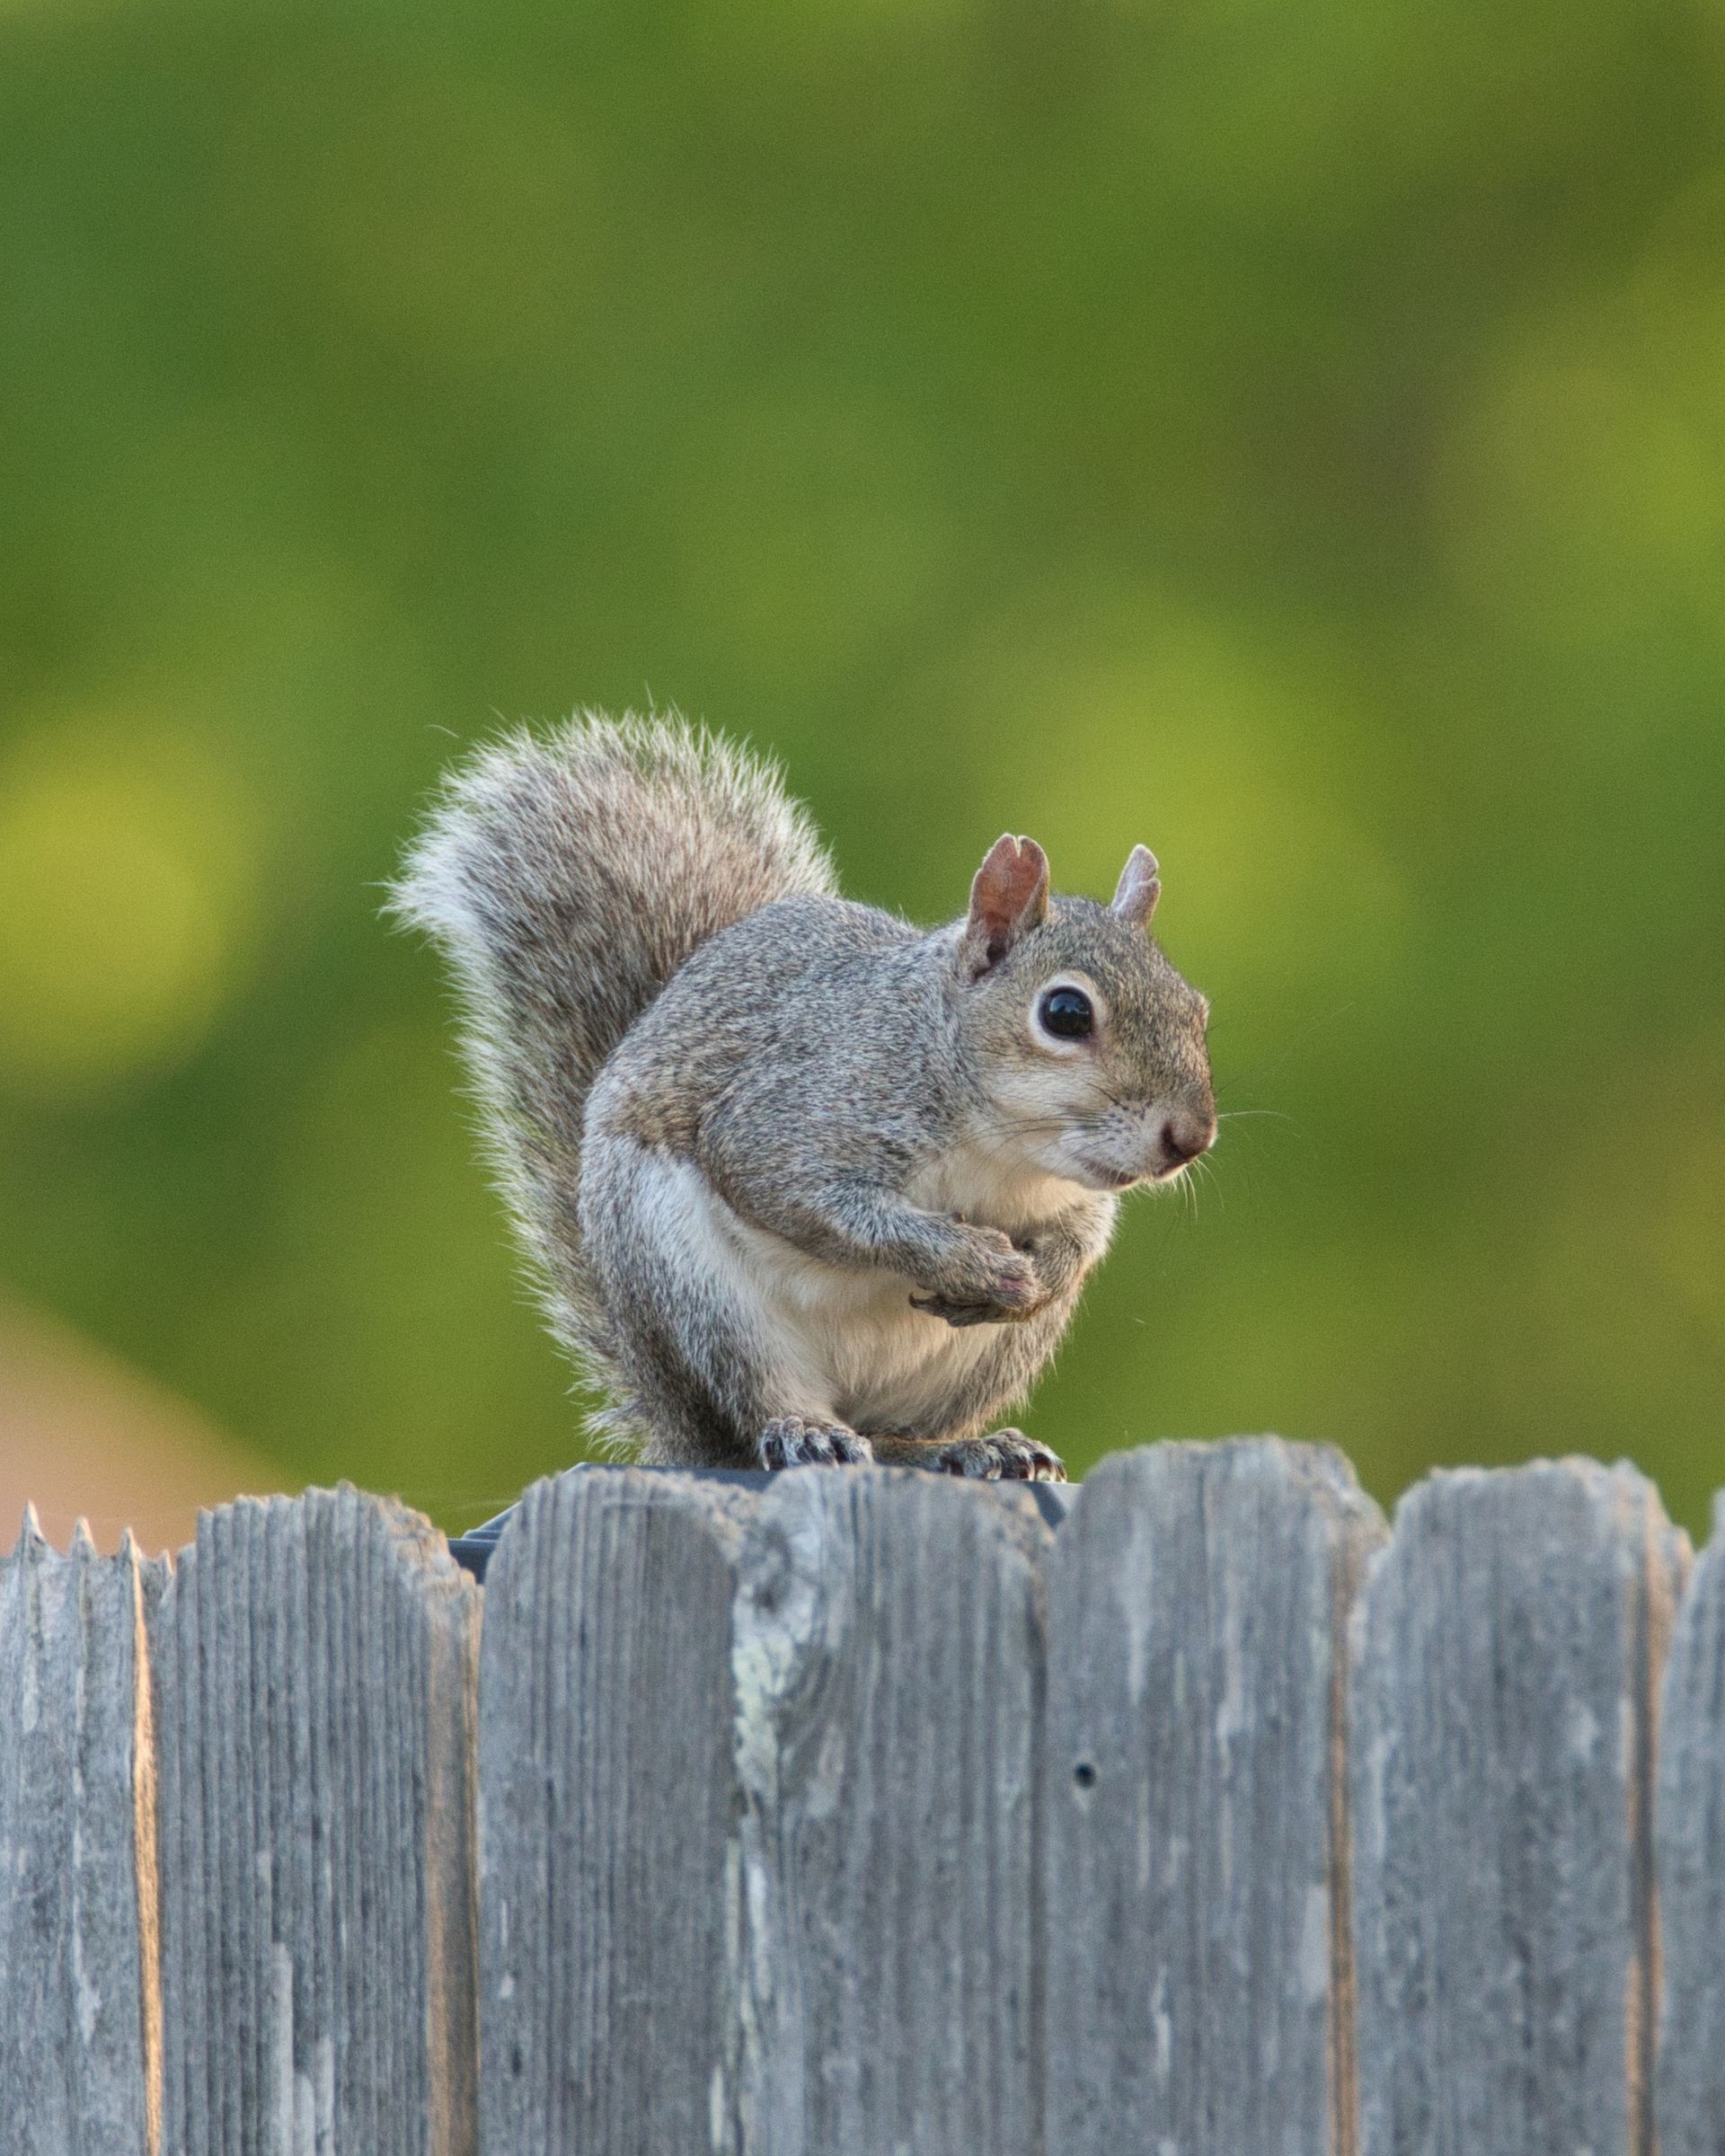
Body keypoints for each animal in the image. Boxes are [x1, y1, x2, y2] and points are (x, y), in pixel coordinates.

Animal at [396, 715, 1216, 1474]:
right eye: (1066, 1013)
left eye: (1198, 1010)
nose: (1192, 1138)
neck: (1004, 1152)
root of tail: (675, 1426)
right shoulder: (799, 1111)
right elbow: (804, 1195)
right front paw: (964, 1260)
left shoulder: (1073, 1197)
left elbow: (1080, 1240)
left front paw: (1042, 1274)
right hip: (695, 1293)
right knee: (756, 1415)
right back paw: (806, 1431)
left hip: (980, 1363)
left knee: (896, 1438)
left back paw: (970, 1449)